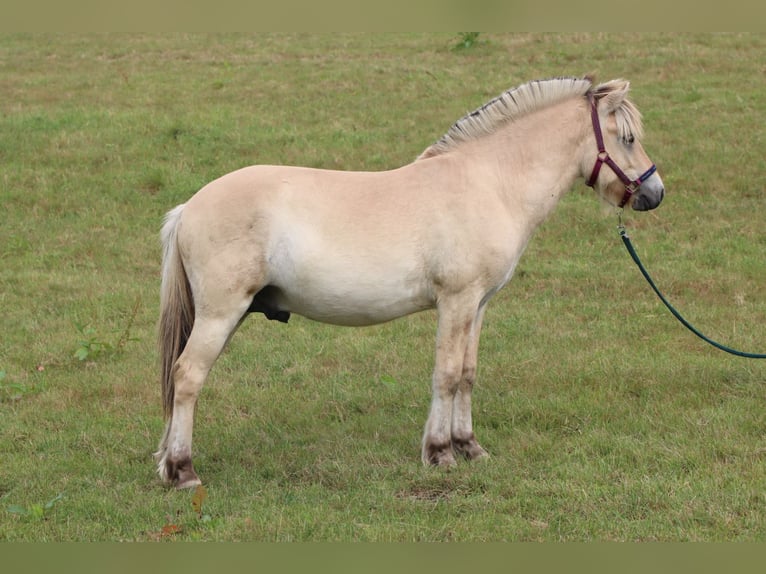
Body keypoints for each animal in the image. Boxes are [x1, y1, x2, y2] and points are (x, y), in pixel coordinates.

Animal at [154, 76, 664, 490]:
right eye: (627, 137)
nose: (654, 194)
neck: (490, 183)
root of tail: (189, 208)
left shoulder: (478, 305)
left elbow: (467, 374)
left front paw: (469, 447)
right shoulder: (456, 301)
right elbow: (446, 374)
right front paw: (440, 454)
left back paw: (165, 463)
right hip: (221, 314)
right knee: (188, 376)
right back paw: (183, 472)